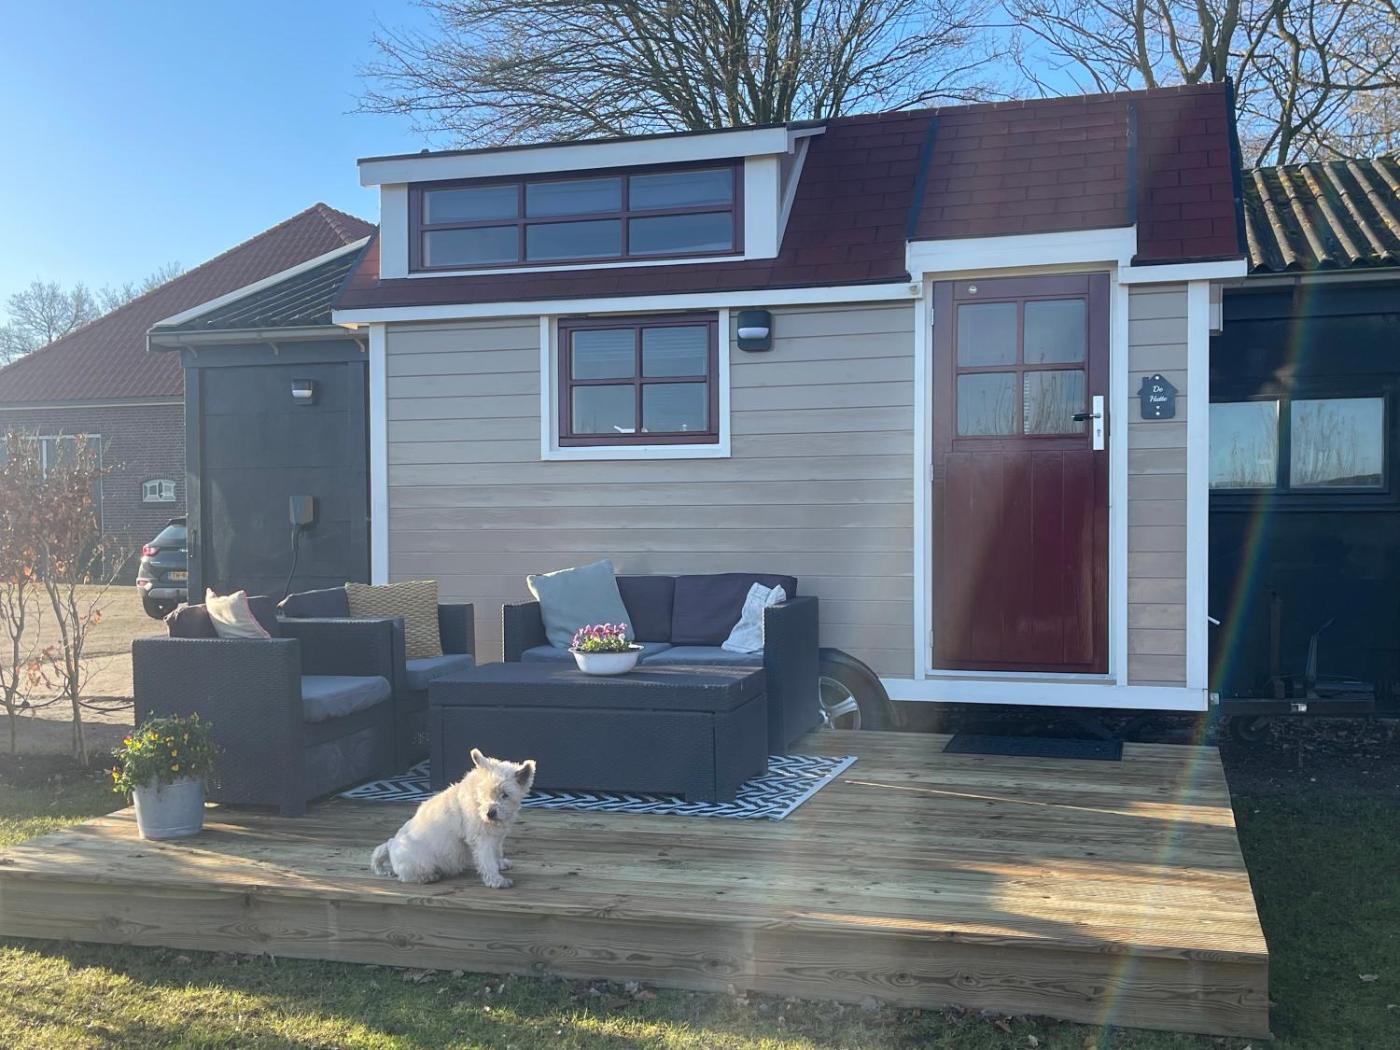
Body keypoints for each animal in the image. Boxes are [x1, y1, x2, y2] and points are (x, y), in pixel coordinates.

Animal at [371, 749, 535, 888]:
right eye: (484, 792)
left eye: (505, 795)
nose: (490, 813)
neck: (478, 801)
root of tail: (391, 845)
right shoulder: (482, 839)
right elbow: (487, 860)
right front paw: (496, 880)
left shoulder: (496, 837)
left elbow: (496, 852)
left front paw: (500, 864)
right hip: (420, 861)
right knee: (407, 876)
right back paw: (429, 876)